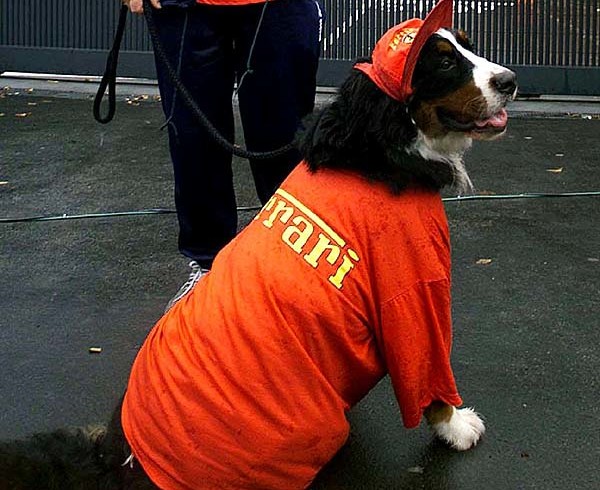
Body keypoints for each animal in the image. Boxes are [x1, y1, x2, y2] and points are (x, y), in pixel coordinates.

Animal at [0, 1, 516, 488]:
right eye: (444, 62)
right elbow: (429, 376)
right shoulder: (411, 293)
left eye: (468, 45)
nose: (510, 80)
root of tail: (118, 455)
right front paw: (456, 425)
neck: (377, 148)